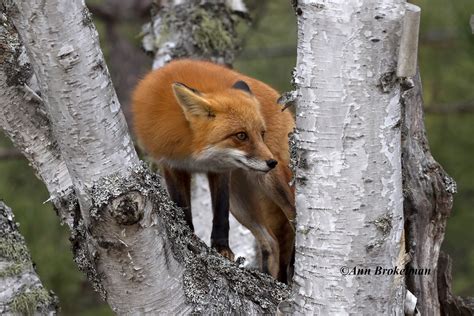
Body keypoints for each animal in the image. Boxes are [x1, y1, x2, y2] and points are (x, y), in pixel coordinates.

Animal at [133, 58, 294, 282]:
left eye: (261, 134)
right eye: (241, 135)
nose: (271, 162)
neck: (193, 150)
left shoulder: (221, 169)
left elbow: (220, 211)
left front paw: (221, 248)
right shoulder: (172, 165)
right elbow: (182, 206)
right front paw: (187, 236)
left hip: (272, 185)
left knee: (293, 219)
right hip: (240, 203)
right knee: (271, 242)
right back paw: (271, 279)